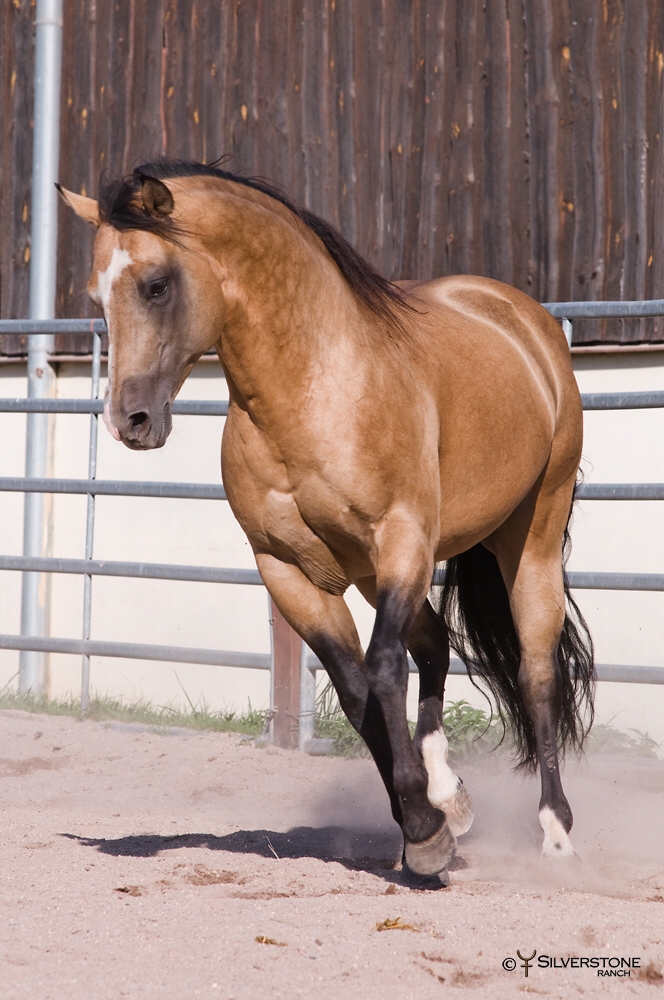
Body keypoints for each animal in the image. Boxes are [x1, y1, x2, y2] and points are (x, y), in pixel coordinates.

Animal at [59, 160, 592, 888]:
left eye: (157, 284)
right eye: (97, 294)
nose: (130, 421)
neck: (315, 388)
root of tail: (522, 319)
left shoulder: (402, 539)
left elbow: (384, 668)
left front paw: (425, 835)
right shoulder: (291, 572)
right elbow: (355, 690)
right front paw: (425, 828)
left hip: (528, 537)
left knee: (536, 671)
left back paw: (557, 834)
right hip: (372, 573)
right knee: (436, 646)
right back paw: (450, 797)